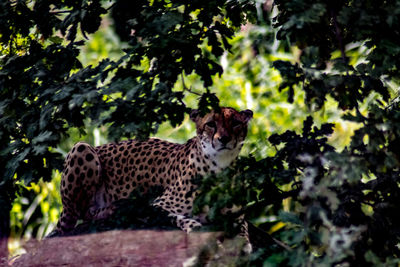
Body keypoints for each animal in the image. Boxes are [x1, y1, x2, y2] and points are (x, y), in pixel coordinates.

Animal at [55, 107, 252, 234]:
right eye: (211, 124)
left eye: (235, 123)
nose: (224, 139)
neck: (219, 166)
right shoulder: (155, 205)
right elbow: (174, 216)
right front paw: (193, 224)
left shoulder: (237, 215)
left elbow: (242, 229)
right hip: (82, 147)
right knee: (82, 215)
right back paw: (111, 210)